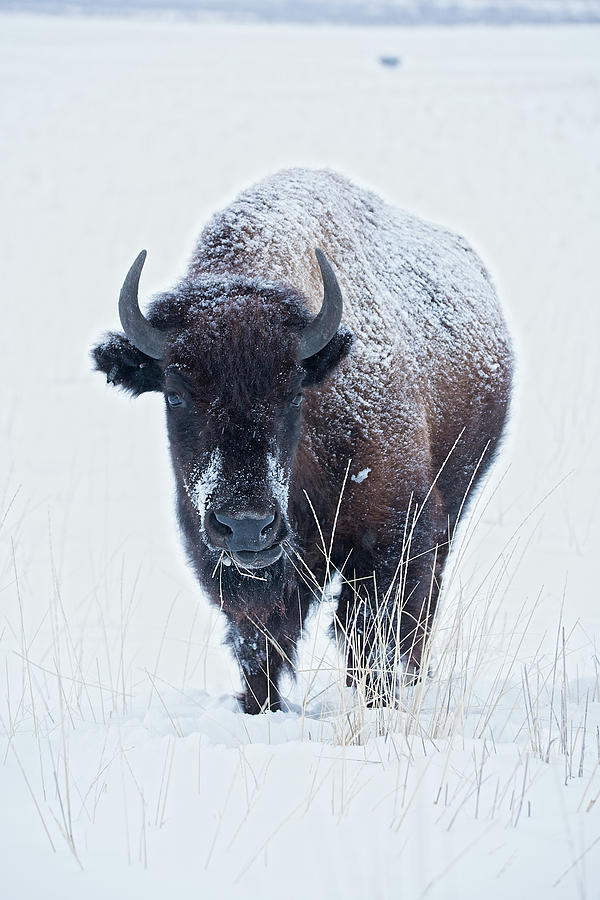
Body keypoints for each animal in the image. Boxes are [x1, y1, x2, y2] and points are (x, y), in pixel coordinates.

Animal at [91, 169, 512, 712]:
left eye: (293, 393)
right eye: (176, 395)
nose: (246, 526)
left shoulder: (393, 536)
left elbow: (370, 629)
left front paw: (375, 704)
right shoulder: (227, 568)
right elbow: (260, 642)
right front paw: (259, 707)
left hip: (452, 503)